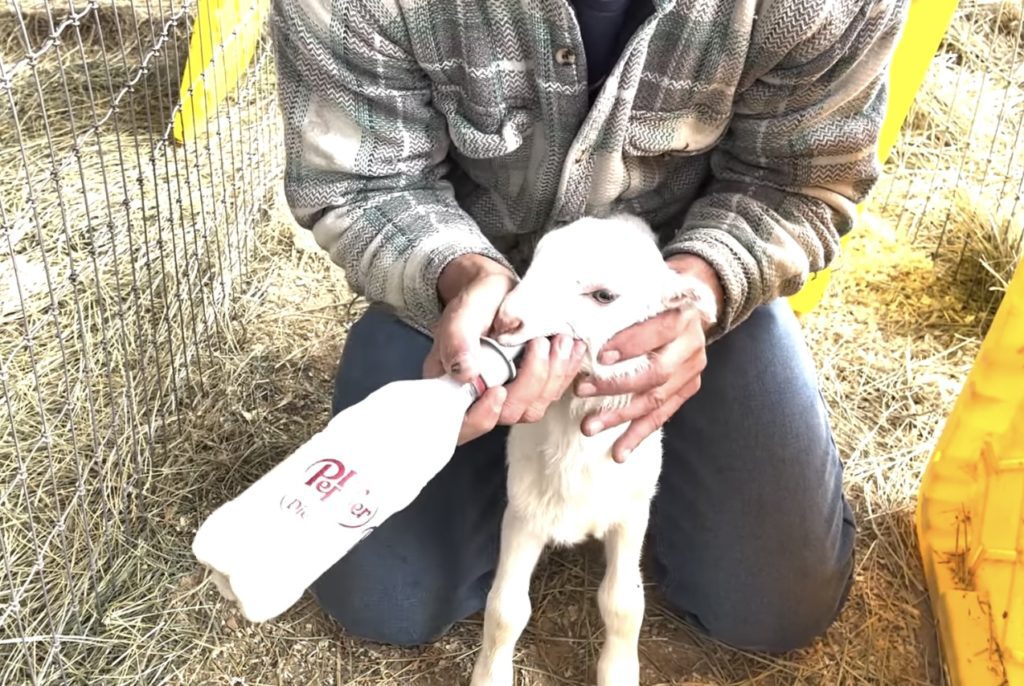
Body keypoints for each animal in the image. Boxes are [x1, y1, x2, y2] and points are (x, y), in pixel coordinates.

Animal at [469, 214, 718, 686]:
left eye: (604, 295)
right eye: (535, 259)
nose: (507, 320)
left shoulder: (632, 511)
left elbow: (624, 603)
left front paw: (617, 672)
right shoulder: (523, 510)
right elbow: (506, 608)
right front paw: (490, 675)